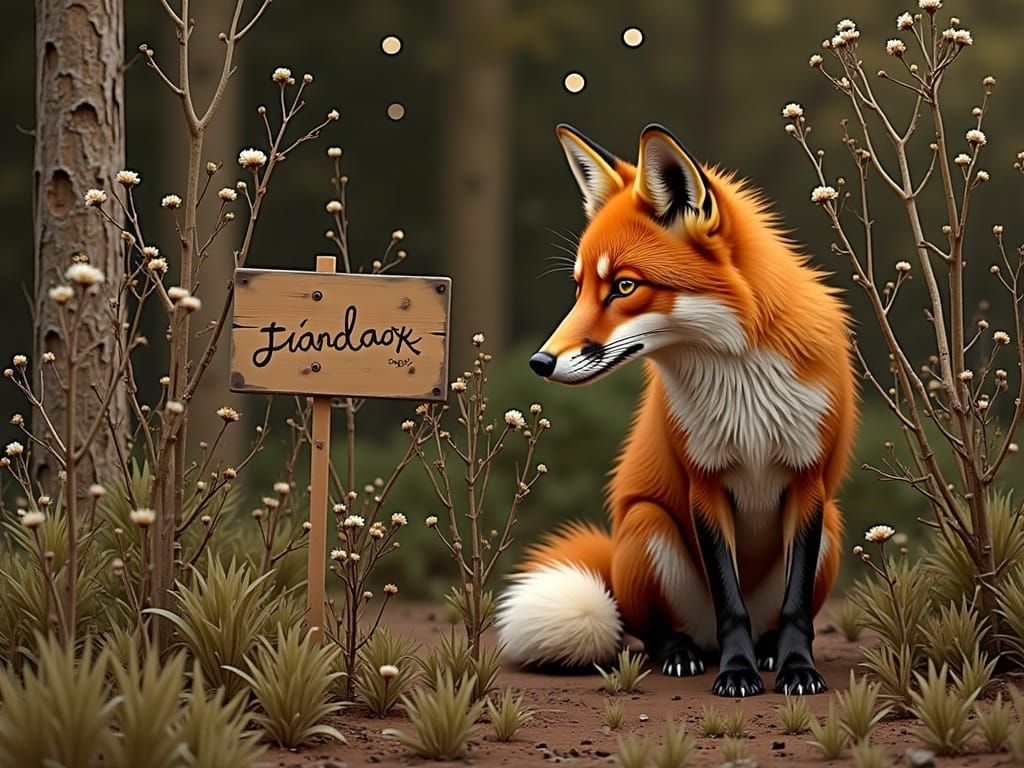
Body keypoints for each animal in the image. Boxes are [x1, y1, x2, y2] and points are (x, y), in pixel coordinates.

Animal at [495, 123, 855, 697]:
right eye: (580, 288)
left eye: (624, 286)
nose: (539, 362)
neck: (742, 381)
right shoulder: (704, 481)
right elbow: (730, 602)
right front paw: (736, 673)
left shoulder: (808, 479)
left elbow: (796, 609)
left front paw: (798, 669)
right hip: (647, 524)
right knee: (656, 631)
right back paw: (686, 654)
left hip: (833, 527)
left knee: (769, 618)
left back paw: (768, 651)